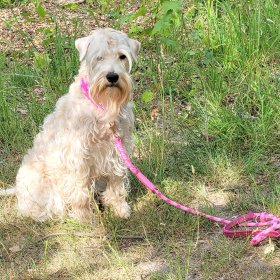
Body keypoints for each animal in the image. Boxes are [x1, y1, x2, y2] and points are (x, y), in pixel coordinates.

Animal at [1, 27, 141, 222]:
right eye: (98, 57)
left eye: (122, 56)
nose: (112, 76)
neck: (103, 106)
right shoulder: (77, 154)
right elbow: (80, 191)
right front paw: (85, 217)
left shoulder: (118, 148)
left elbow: (117, 182)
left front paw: (120, 209)